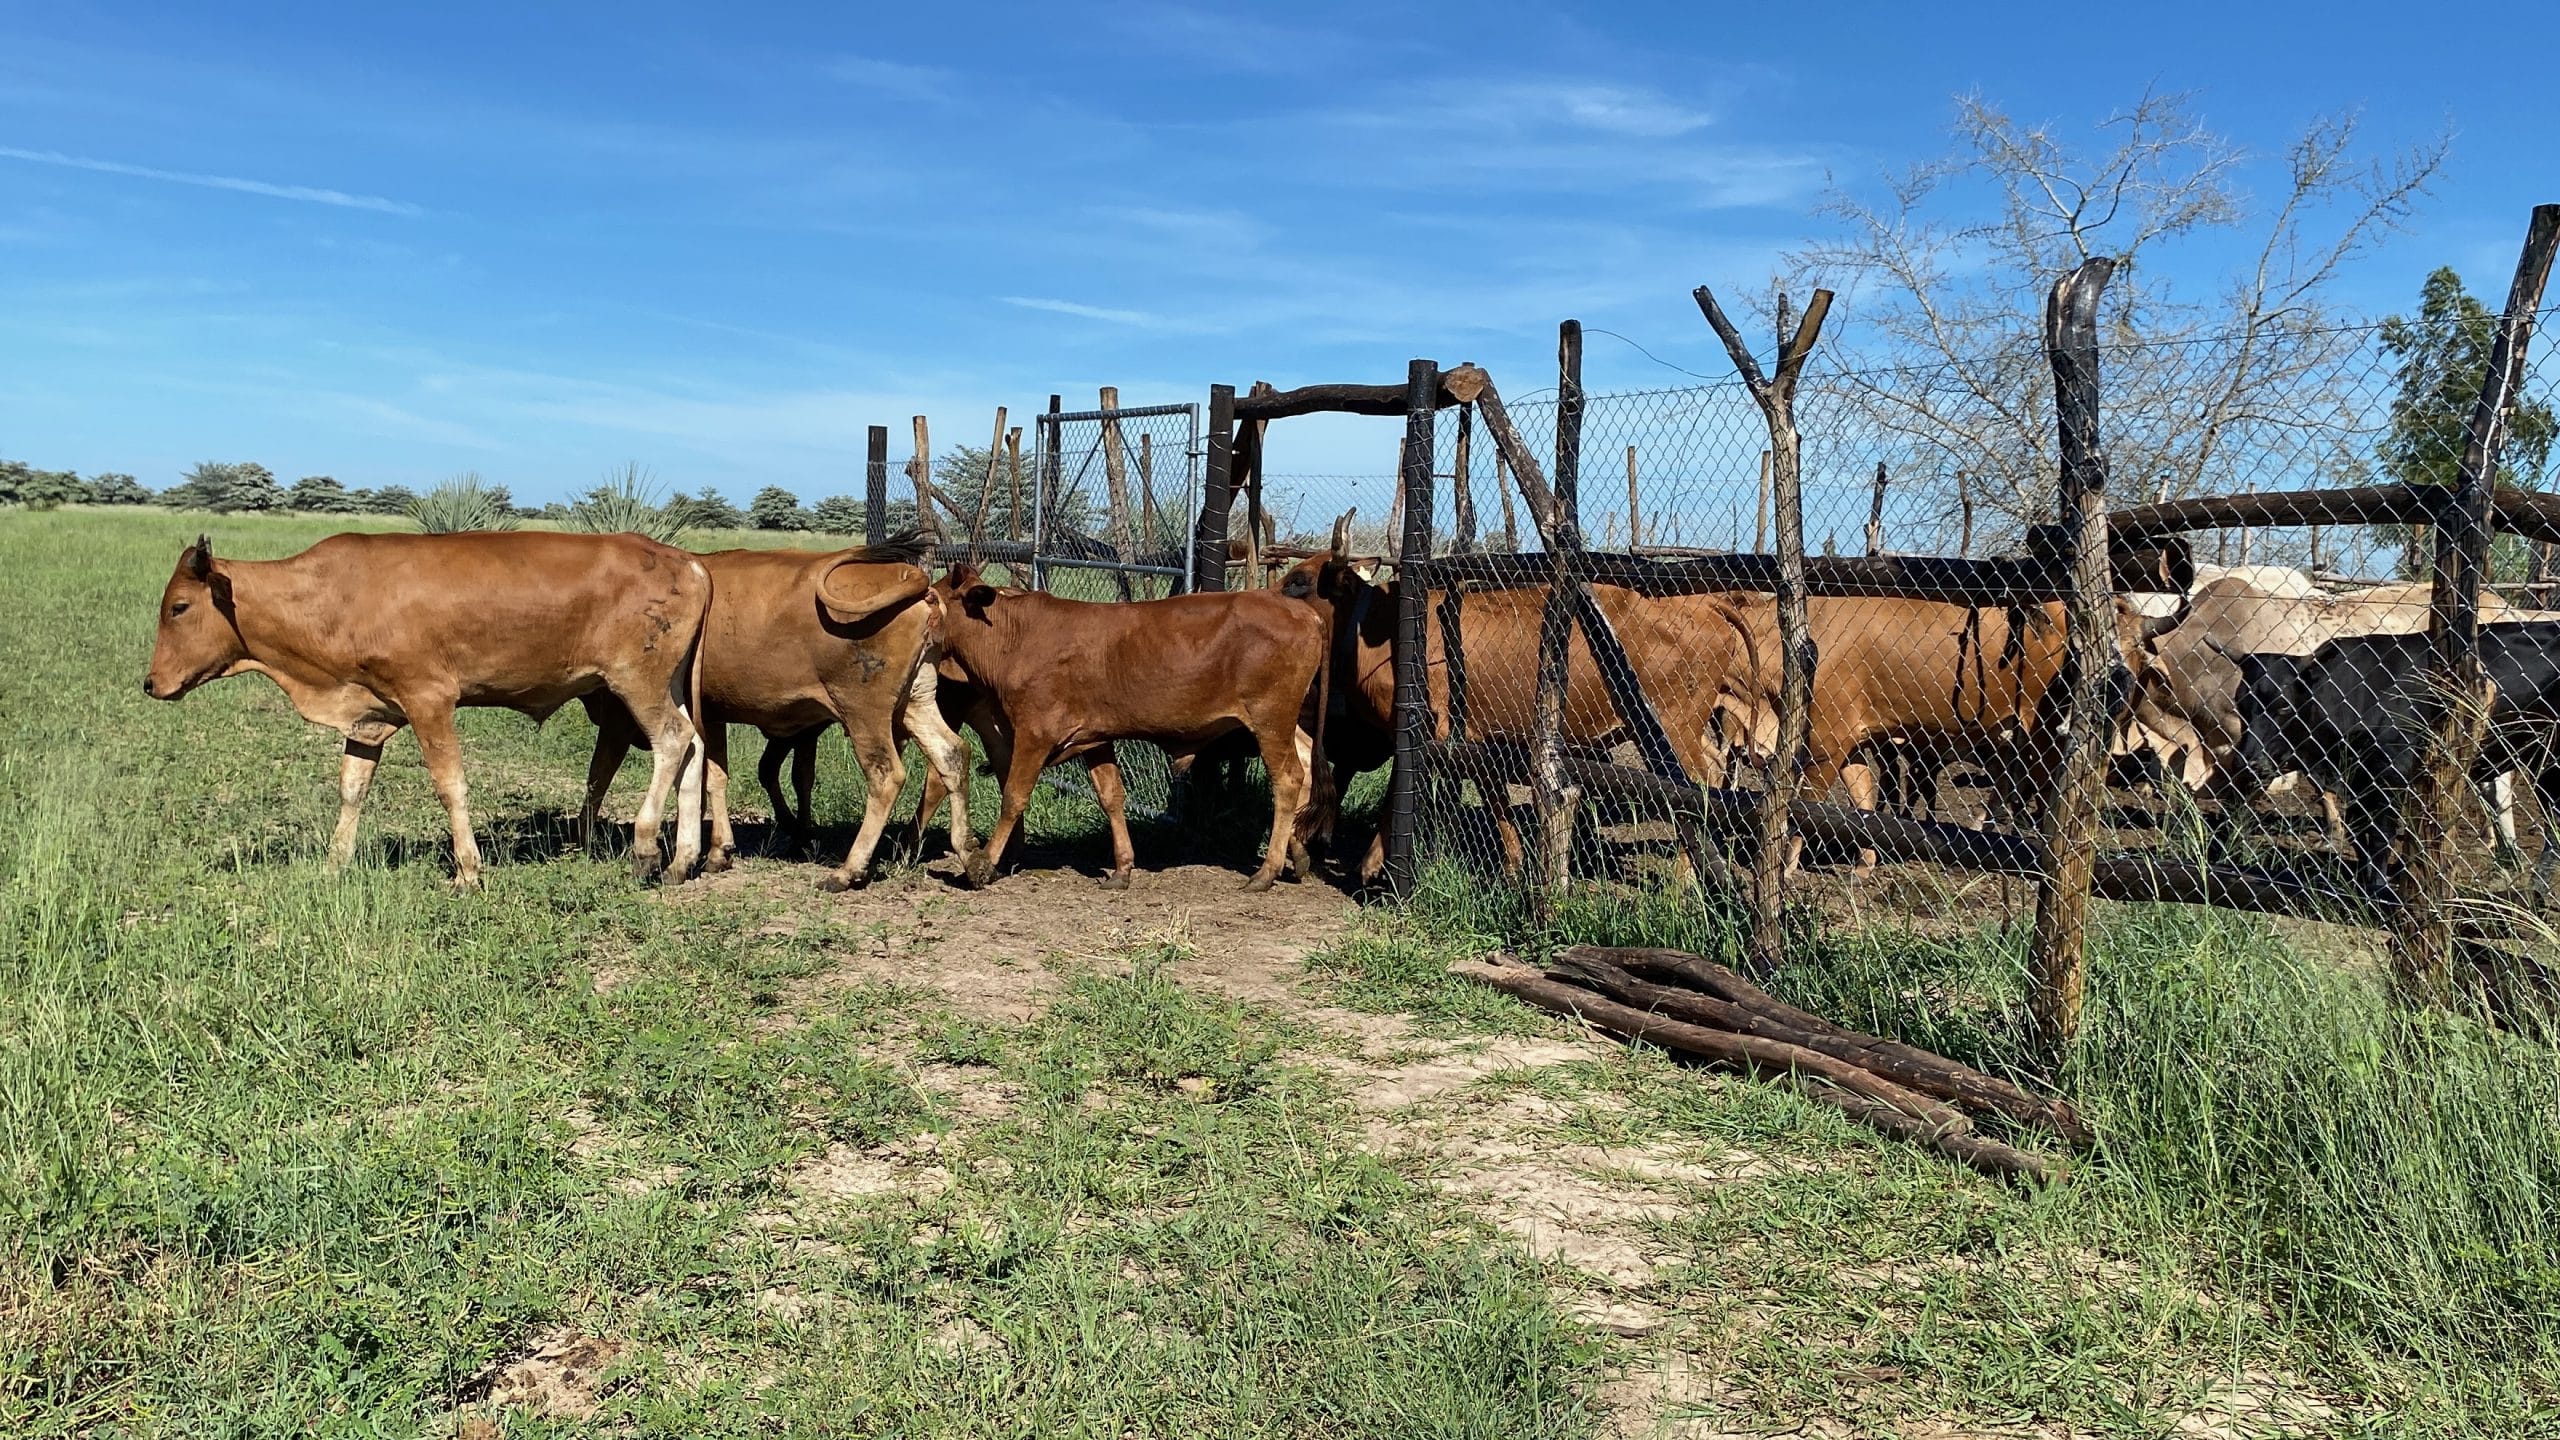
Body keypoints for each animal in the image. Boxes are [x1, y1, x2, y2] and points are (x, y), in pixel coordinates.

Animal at [143, 531, 709, 887]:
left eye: (179, 607)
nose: (150, 683)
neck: (332, 599)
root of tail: (687, 560)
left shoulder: (428, 699)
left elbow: (449, 784)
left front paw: (467, 870)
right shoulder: (369, 715)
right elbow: (351, 789)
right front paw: (334, 865)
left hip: (635, 680)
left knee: (672, 739)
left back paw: (645, 847)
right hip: (668, 683)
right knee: (695, 746)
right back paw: (682, 859)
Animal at [579, 536, 976, 892]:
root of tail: (914, 582)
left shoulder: (631, 717)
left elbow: (602, 772)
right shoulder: (714, 715)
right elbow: (717, 777)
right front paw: (720, 850)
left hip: (865, 712)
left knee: (886, 776)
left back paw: (849, 870)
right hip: (916, 701)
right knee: (952, 754)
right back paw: (972, 858)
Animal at [924, 561, 1329, 890]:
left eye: (931, 596)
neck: (1013, 636)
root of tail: (1301, 612)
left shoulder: (1034, 734)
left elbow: (1013, 797)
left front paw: (985, 863)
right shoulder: (1094, 739)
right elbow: (1111, 796)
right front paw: (1122, 869)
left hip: (1270, 719)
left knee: (1288, 779)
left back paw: (1266, 872)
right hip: (1282, 723)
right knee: (1307, 768)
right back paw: (1298, 854)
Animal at [2232, 622, 2560, 901]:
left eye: (2284, 707)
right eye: (2240, 704)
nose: (2250, 761)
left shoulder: (2389, 777)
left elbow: (2380, 836)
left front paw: (2378, 888)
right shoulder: (2359, 783)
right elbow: (2359, 834)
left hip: (2550, 761)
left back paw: (2538, 892)